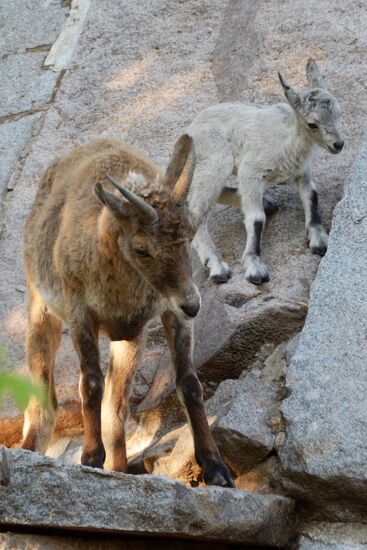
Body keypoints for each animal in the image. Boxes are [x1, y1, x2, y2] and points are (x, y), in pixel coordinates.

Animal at [21, 136, 234, 490]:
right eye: (141, 248)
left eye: (189, 234)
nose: (193, 305)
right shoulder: (80, 314)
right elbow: (90, 383)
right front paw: (90, 458)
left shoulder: (164, 314)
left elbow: (189, 382)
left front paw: (216, 468)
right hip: (42, 308)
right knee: (43, 396)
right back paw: (29, 450)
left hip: (129, 341)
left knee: (116, 406)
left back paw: (119, 467)